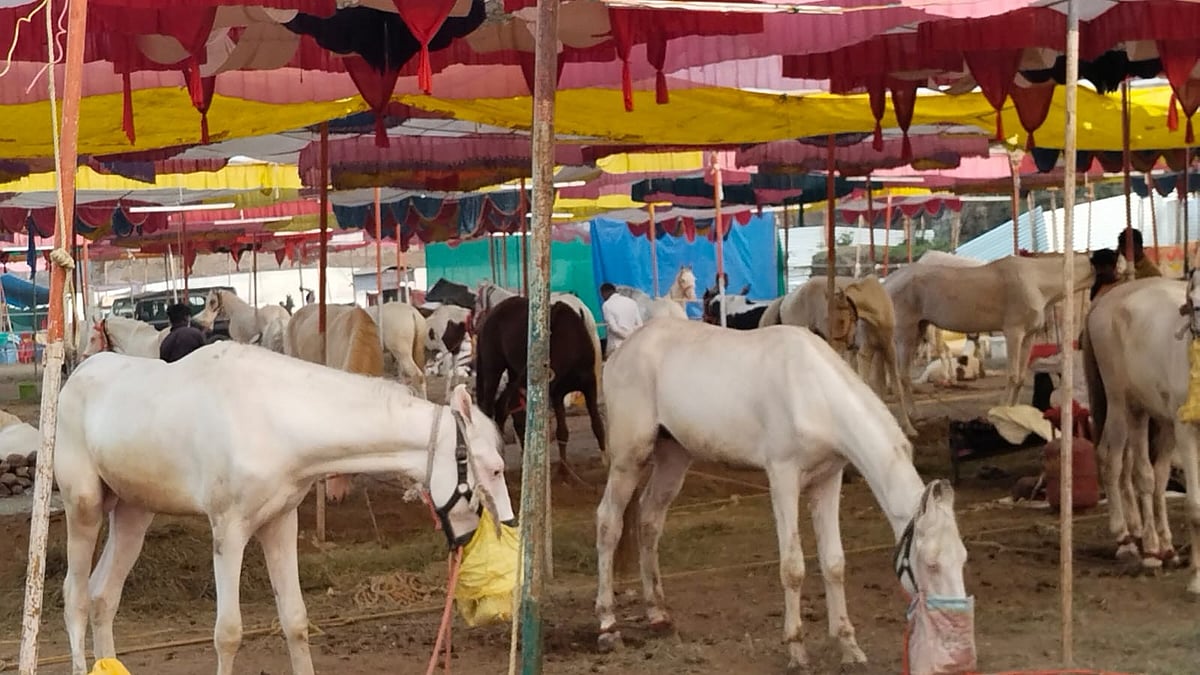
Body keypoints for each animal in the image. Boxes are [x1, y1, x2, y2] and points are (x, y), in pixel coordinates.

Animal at [54, 343, 511, 675]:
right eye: (494, 468)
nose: (505, 525)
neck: (275, 419)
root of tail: (75, 376)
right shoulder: (228, 530)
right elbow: (228, 633)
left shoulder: (280, 523)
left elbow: (295, 619)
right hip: (84, 507)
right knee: (75, 596)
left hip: (133, 513)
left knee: (103, 596)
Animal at [474, 296, 605, 483]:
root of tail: (489, 315)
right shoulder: (557, 393)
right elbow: (562, 432)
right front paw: (563, 472)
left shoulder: (588, 385)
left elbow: (595, 425)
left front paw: (605, 462)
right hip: (494, 368)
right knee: (489, 407)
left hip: (512, 371)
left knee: (499, 409)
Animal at [594, 318, 969, 668]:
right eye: (931, 563)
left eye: (963, 558)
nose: (955, 626)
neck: (814, 393)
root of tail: (621, 352)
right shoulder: (783, 478)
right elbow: (793, 567)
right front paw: (797, 649)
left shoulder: (828, 480)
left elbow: (834, 563)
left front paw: (848, 645)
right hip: (629, 458)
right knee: (609, 523)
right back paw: (607, 624)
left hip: (674, 455)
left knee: (649, 520)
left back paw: (657, 614)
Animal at [886, 252, 1093, 409]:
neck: (1035, 281)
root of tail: (889, 281)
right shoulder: (1014, 333)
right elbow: (1012, 375)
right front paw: (1003, 410)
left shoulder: (1029, 336)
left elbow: (1020, 378)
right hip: (904, 335)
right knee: (901, 376)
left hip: (918, 331)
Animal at [1082, 277, 1200, 585]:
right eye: (1194, 303)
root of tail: (1104, 302)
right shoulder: (1186, 431)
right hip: (1121, 405)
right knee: (1116, 463)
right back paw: (1132, 542)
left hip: (1158, 419)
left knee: (1152, 475)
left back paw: (1162, 545)